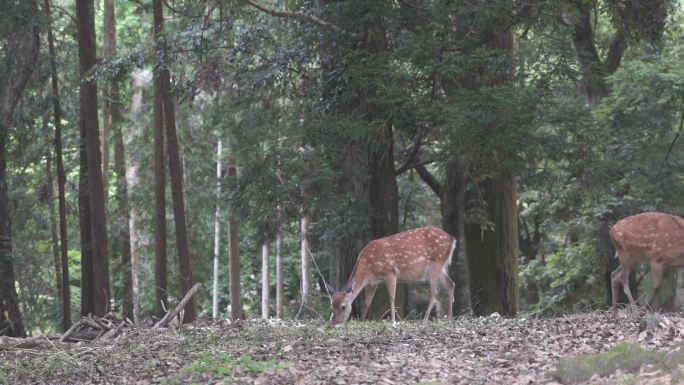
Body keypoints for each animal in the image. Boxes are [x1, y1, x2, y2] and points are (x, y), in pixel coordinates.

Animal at [324, 226, 456, 322]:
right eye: (331, 307)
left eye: (343, 306)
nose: (336, 322)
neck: (367, 267)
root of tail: (452, 239)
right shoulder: (372, 282)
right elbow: (367, 302)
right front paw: (362, 320)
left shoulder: (390, 272)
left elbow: (392, 297)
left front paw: (393, 321)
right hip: (441, 267)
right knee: (451, 284)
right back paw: (450, 318)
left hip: (435, 264)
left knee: (435, 292)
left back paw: (424, 320)